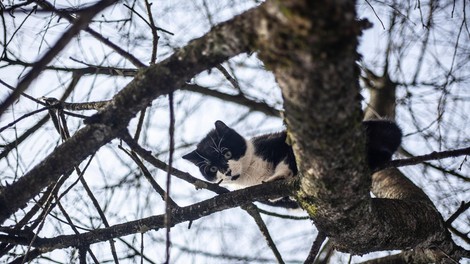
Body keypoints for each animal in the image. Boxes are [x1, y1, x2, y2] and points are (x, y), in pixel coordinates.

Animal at [182, 119, 402, 188]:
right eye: (211, 169)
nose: (226, 171)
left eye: (227, 153)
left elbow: (288, 159)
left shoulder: (281, 143)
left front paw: (278, 176)